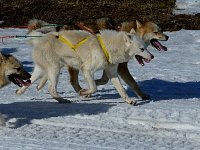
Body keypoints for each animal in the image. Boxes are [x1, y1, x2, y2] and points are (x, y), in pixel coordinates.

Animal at [16, 29, 154, 104]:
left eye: (145, 47)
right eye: (142, 49)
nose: (152, 56)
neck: (107, 47)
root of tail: (39, 39)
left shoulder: (112, 73)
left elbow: (121, 90)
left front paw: (129, 101)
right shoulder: (87, 70)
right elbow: (94, 87)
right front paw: (84, 92)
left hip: (42, 70)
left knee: (30, 80)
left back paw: (19, 91)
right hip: (54, 70)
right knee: (51, 89)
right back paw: (62, 100)